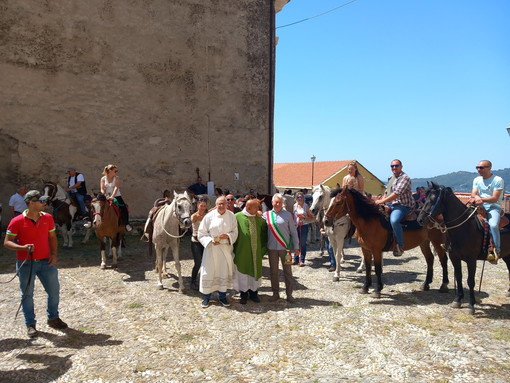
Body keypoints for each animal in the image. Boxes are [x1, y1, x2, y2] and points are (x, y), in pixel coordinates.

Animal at [418, 184, 510, 316]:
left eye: (434, 199)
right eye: (425, 199)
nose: (420, 219)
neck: (464, 228)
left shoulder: (471, 260)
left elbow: (470, 281)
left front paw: (471, 306)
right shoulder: (454, 257)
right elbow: (459, 277)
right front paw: (457, 300)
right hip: (507, 256)